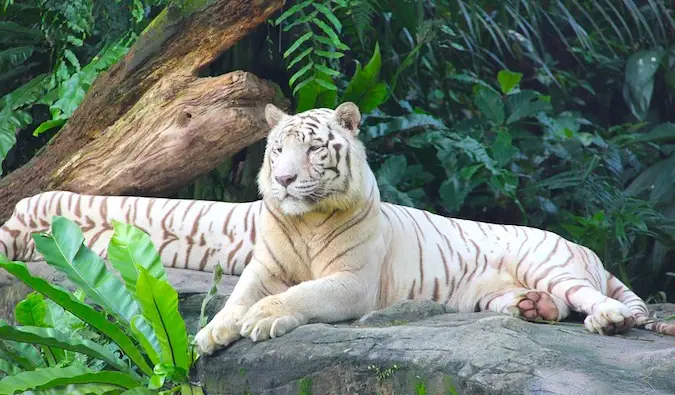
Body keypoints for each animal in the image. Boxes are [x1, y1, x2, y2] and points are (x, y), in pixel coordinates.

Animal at [0, 101, 672, 356]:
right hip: (500, 291)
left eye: (314, 149)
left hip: (552, 263)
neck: (301, 223)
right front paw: (211, 334)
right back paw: (532, 311)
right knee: (550, 305)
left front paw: (260, 322)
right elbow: (235, 300)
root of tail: (586, 249)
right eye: (277, 150)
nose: (285, 180)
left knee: (594, 300)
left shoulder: (350, 282)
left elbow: (296, 296)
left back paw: (607, 321)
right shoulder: (260, 266)